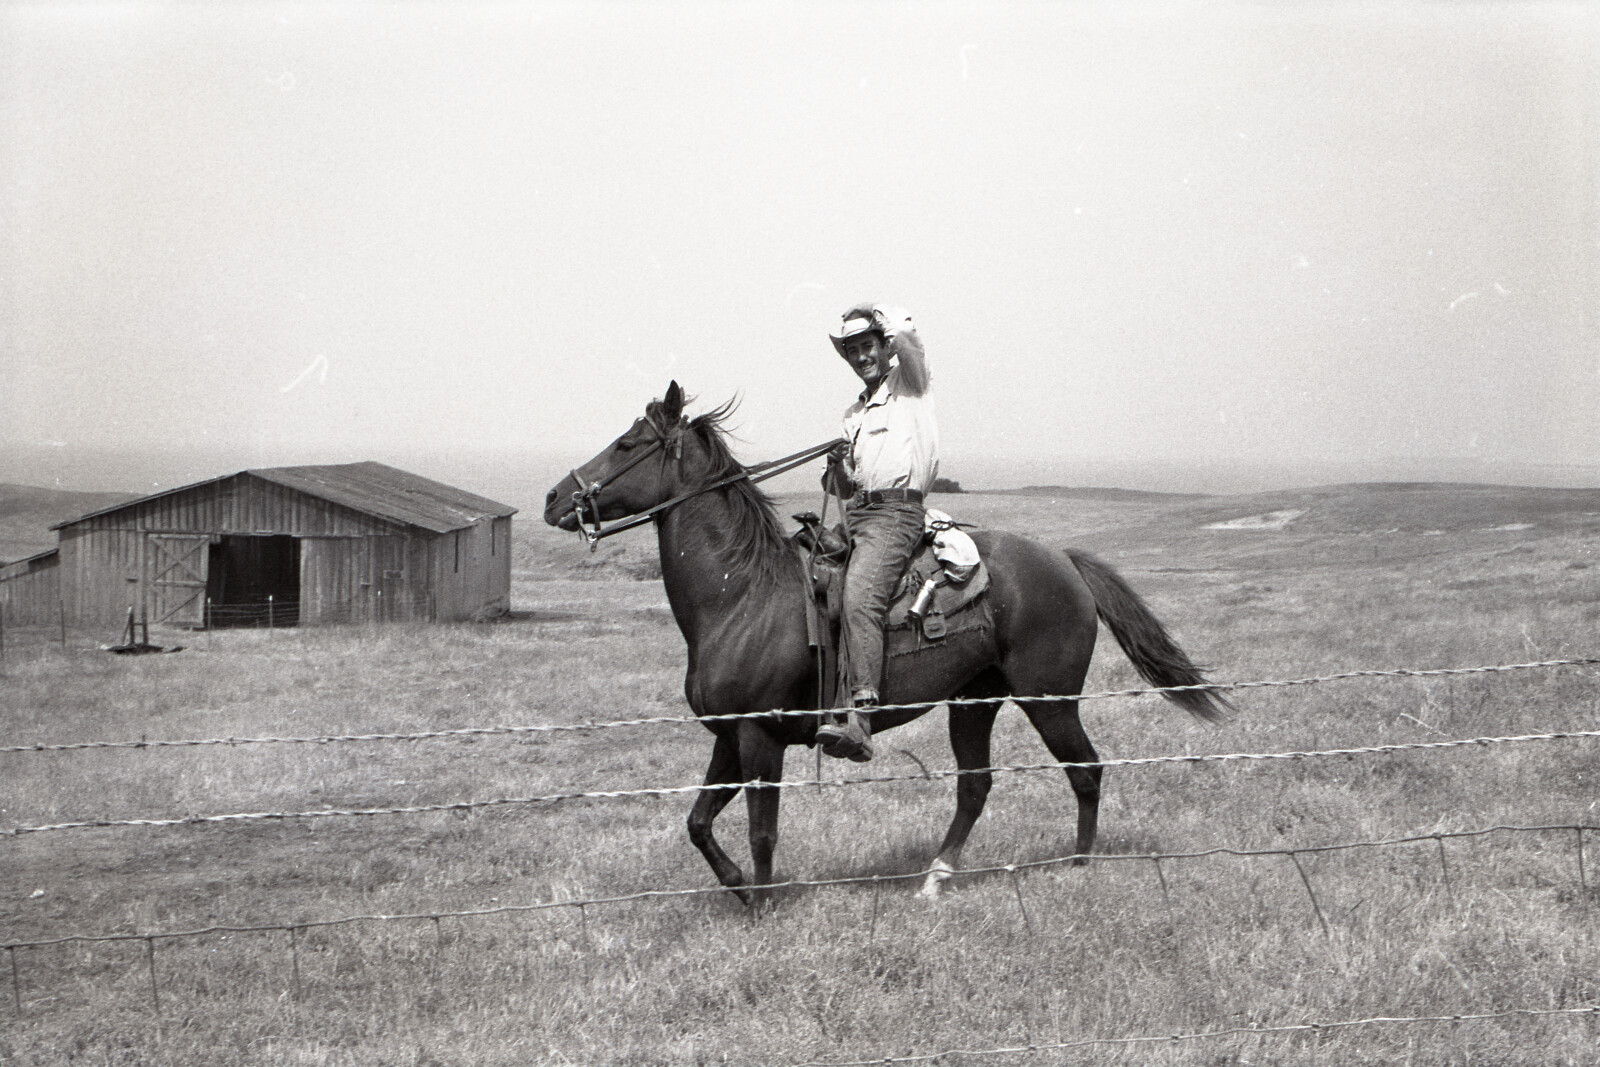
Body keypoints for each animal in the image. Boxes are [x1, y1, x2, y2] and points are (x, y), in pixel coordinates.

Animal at [544, 383, 1228, 902]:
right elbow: (698, 823)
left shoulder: (761, 738)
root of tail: (1064, 560)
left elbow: (761, 831)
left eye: (628, 443)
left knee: (1085, 771)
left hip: (1051, 701)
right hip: (974, 703)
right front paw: (739, 888)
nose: (554, 497)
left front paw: (762, 904)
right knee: (975, 787)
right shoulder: (730, 737)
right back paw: (936, 877)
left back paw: (1079, 866)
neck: (742, 596)